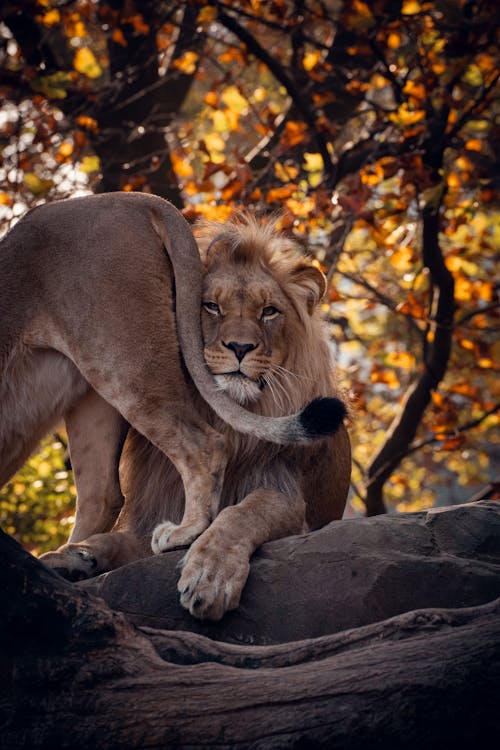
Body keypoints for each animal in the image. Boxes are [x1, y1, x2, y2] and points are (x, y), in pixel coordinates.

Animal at [0, 194, 350, 624]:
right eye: (211, 307)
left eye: (269, 311)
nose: (239, 347)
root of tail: (137, 199)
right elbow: (126, 540)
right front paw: (80, 558)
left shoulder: (288, 496)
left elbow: (241, 515)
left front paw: (208, 577)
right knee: (102, 494)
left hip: (118, 359)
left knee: (200, 447)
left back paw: (184, 533)